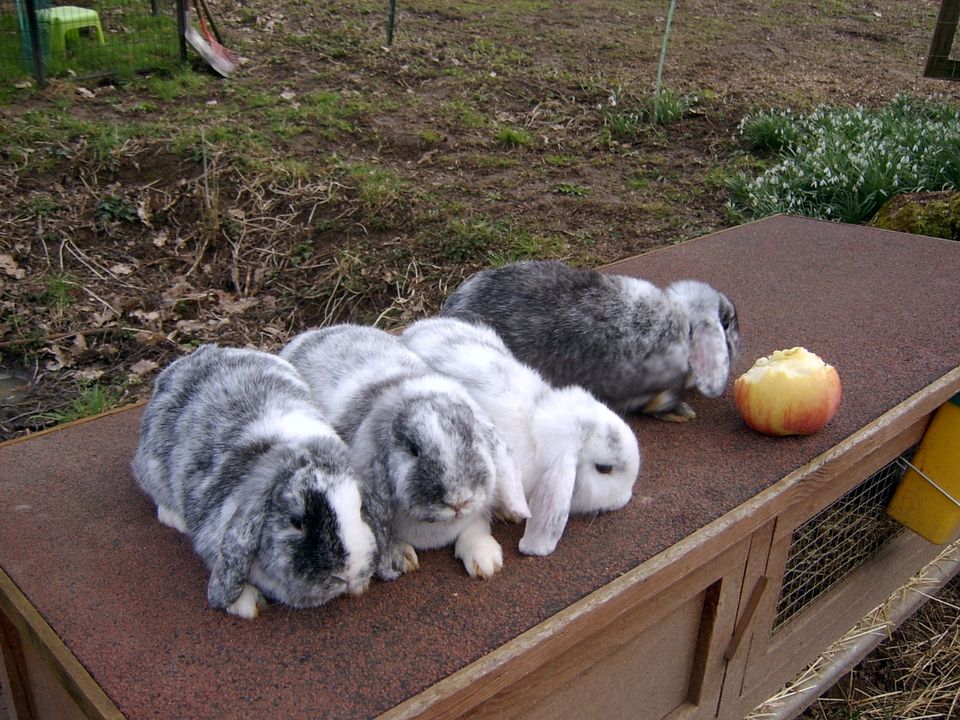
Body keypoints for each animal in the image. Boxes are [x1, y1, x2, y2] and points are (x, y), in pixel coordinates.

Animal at [129, 344, 376, 620]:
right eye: (296, 523)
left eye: (360, 510)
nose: (347, 574)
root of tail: (189, 359)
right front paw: (246, 603)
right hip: (151, 469)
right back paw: (175, 519)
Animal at [278, 324, 532, 580]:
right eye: (413, 450)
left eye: (471, 438)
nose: (458, 502)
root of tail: (314, 332)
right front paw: (401, 557)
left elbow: (475, 527)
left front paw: (485, 561)